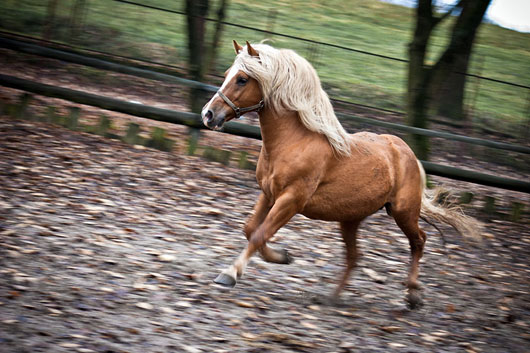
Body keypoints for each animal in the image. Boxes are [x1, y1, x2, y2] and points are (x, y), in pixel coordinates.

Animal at [199, 40, 478, 306]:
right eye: (226, 74)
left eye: (242, 79)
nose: (208, 115)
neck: (295, 141)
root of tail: (408, 154)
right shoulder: (268, 194)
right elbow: (250, 229)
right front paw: (283, 256)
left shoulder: (291, 200)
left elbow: (259, 234)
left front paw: (230, 274)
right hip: (350, 219)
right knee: (355, 257)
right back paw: (331, 298)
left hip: (403, 212)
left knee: (419, 240)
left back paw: (412, 295)